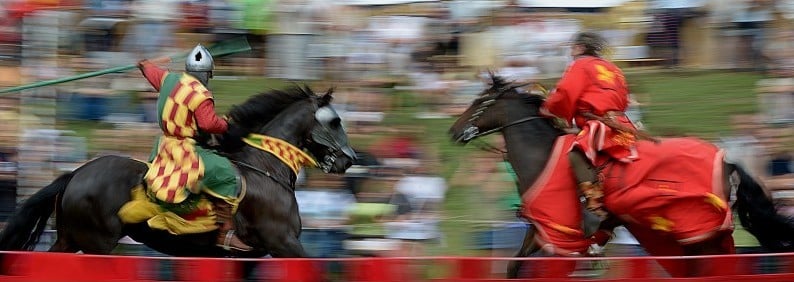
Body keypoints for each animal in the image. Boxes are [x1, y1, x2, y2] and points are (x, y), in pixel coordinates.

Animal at [0, 85, 356, 258]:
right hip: (96, 243)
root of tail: (74, 174)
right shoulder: (282, 242)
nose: (349, 159)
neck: (265, 168)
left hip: (70, 238)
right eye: (335, 121)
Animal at [448, 75, 792, 278]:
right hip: (708, 235)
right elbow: (513, 265)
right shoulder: (541, 230)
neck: (541, 155)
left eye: (479, 102)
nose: (453, 131)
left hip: (698, 231)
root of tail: (729, 161)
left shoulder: (561, 234)